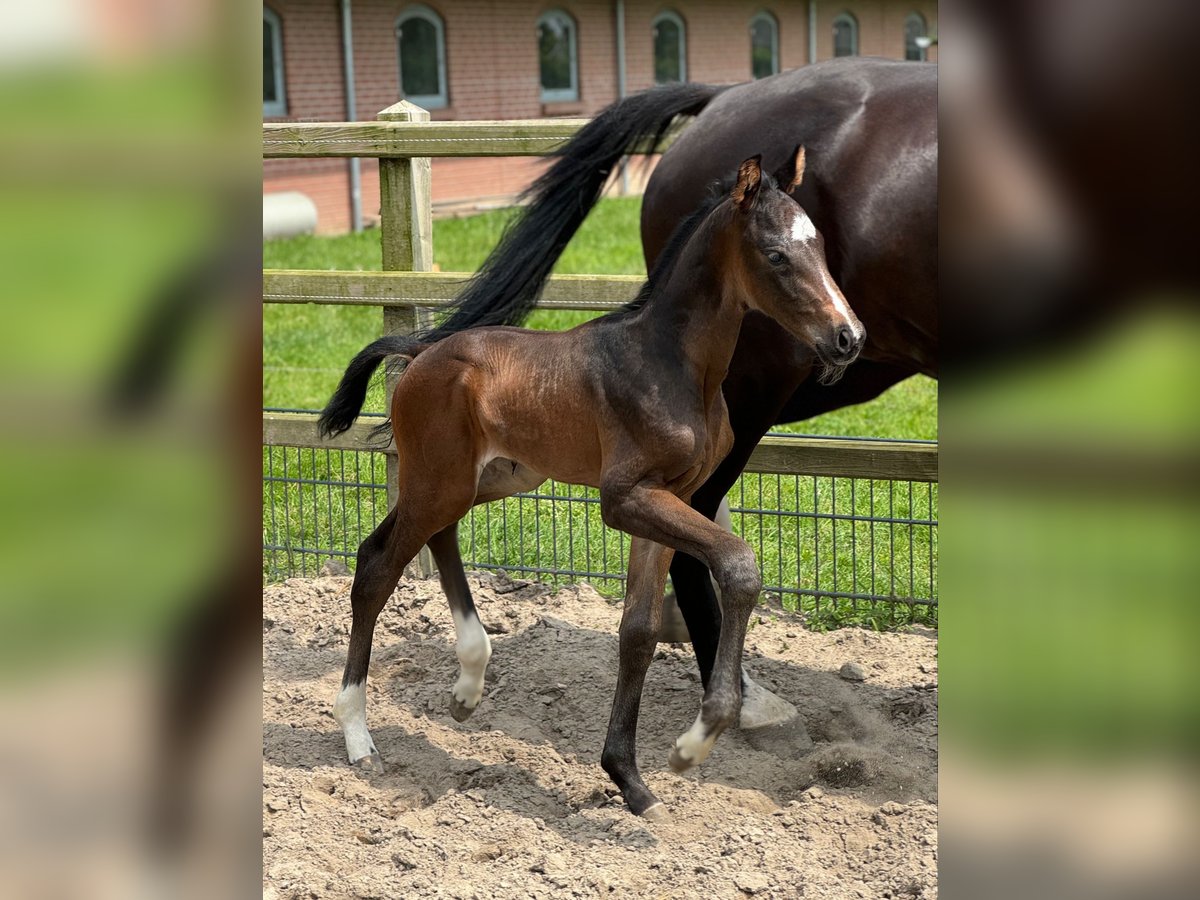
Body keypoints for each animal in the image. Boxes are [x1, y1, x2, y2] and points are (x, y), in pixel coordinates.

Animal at [319, 151, 864, 820]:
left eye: (821, 247)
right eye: (776, 255)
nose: (848, 337)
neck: (675, 365)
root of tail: (419, 351)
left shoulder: (671, 497)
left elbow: (638, 632)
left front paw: (631, 781)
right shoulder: (627, 498)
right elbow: (738, 565)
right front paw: (696, 741)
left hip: (488, 479)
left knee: (430, 539)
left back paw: (468, 684)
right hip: (438, 480)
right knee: (376, 567)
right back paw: (358, 735)